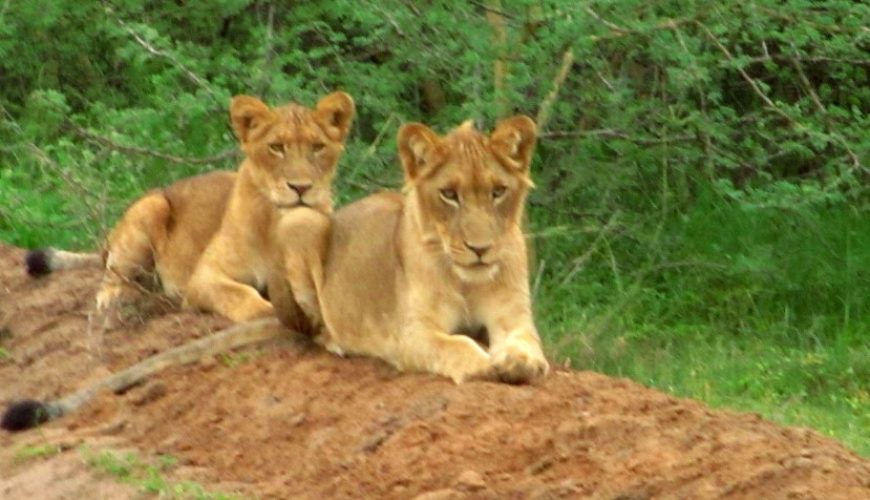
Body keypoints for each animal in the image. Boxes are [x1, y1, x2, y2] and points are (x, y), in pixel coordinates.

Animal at [26, 91, 354, 322]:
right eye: (276, 147)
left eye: (317, 147)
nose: (300, 188)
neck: (277, 222)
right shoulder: (204, 277)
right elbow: (241, 295)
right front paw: (267, 309)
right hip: (151, 206)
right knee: (109, 275)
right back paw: (117, 298)